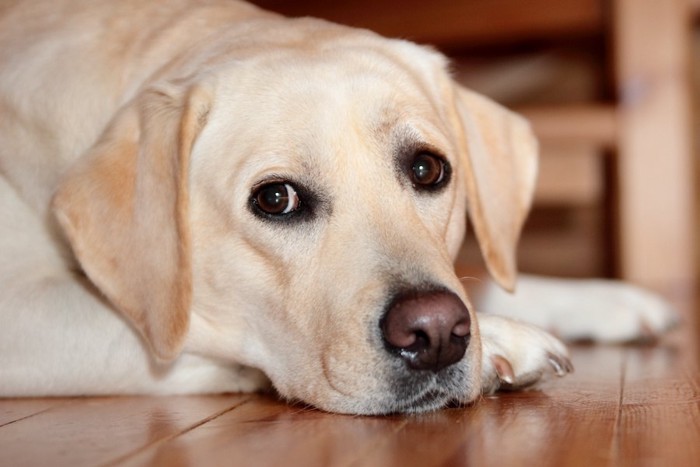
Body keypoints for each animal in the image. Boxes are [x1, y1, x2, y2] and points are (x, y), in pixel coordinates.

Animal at [0, 0, 680, 416]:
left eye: (428, 169)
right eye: (276, 199)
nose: (437, 333)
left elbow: (486, 281)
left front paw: (599, 299)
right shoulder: (27, 317)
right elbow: (195, 328)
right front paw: (505, 343)